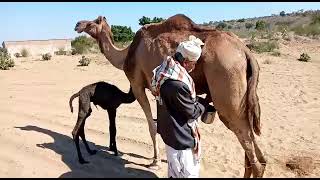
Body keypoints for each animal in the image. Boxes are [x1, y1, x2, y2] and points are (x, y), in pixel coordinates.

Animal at [75, 14, 268, 177]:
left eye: (92, 22)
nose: (78, 24)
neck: (126, 54)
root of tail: (245, 51)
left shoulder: (137, 85)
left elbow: (152, 126)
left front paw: (155, 161)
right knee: (253, 145)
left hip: (226, 83)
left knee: (246, 140)